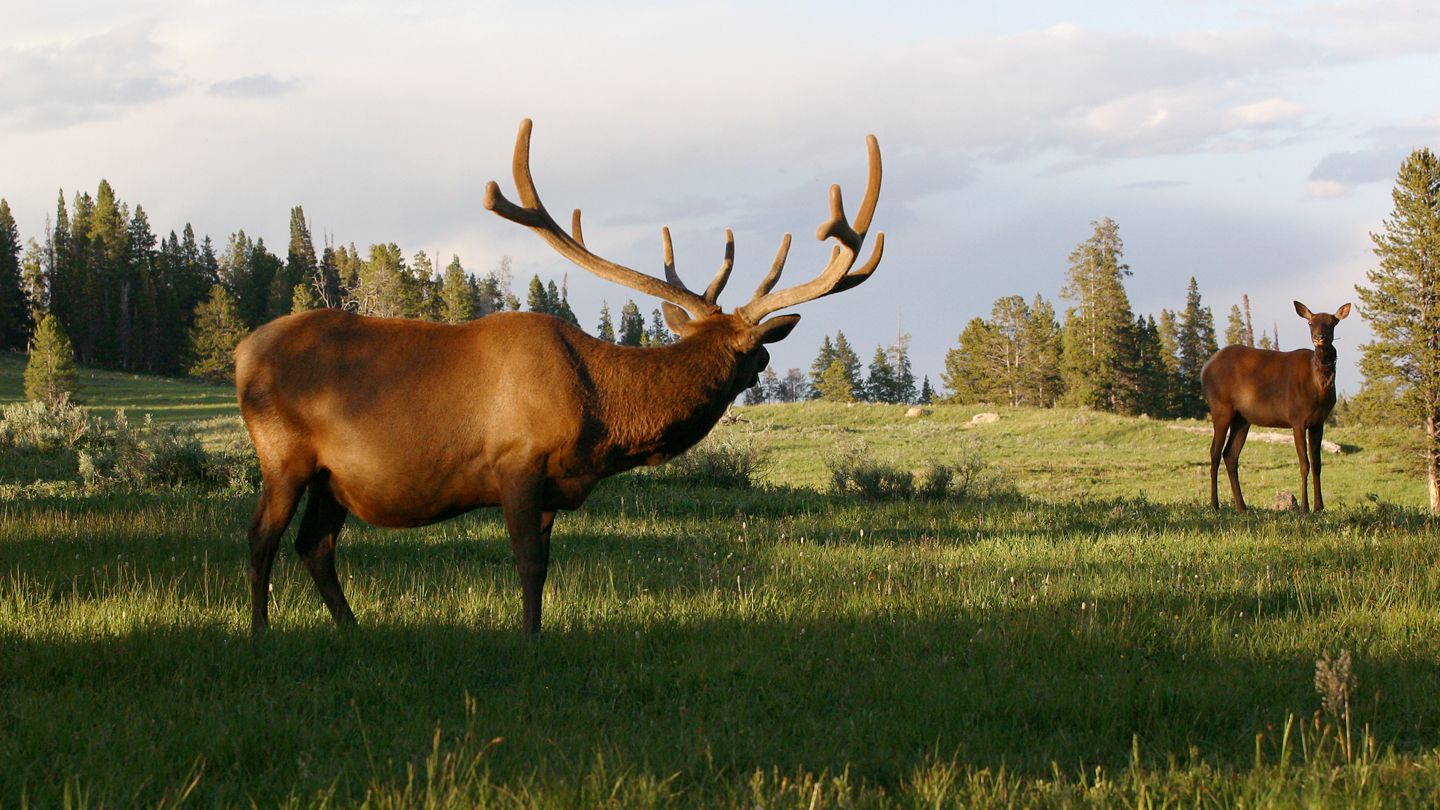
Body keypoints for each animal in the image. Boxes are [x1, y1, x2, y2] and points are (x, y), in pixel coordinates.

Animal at [236, 119, 881, 634]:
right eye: (756, 351)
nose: (766, 366)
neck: (604, 417)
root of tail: (243, 352)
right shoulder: (517, 460)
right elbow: (528, 562)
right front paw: (527, 640)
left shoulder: (551, 485)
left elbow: (543, 569)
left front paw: (538, 630)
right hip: (283, 454)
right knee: (262, 537)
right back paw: (261, 632)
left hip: (332, 478)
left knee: (314, 545)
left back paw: (353, 629)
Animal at [1203, 299, 1347, 513]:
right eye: (1310, 323)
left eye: (1332, 323)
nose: (1319, 337)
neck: (1318, 388)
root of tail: (1204, 368)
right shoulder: (1297, 418)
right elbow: (1304, 463)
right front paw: (1304, 508)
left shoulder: (1318, 422)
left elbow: (1317, 464)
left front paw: (1319, 507)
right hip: (1221, 407)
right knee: (1214, 453)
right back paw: (1215, 504)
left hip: (1242, 418)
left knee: (1230, 454)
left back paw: (1242, 506)